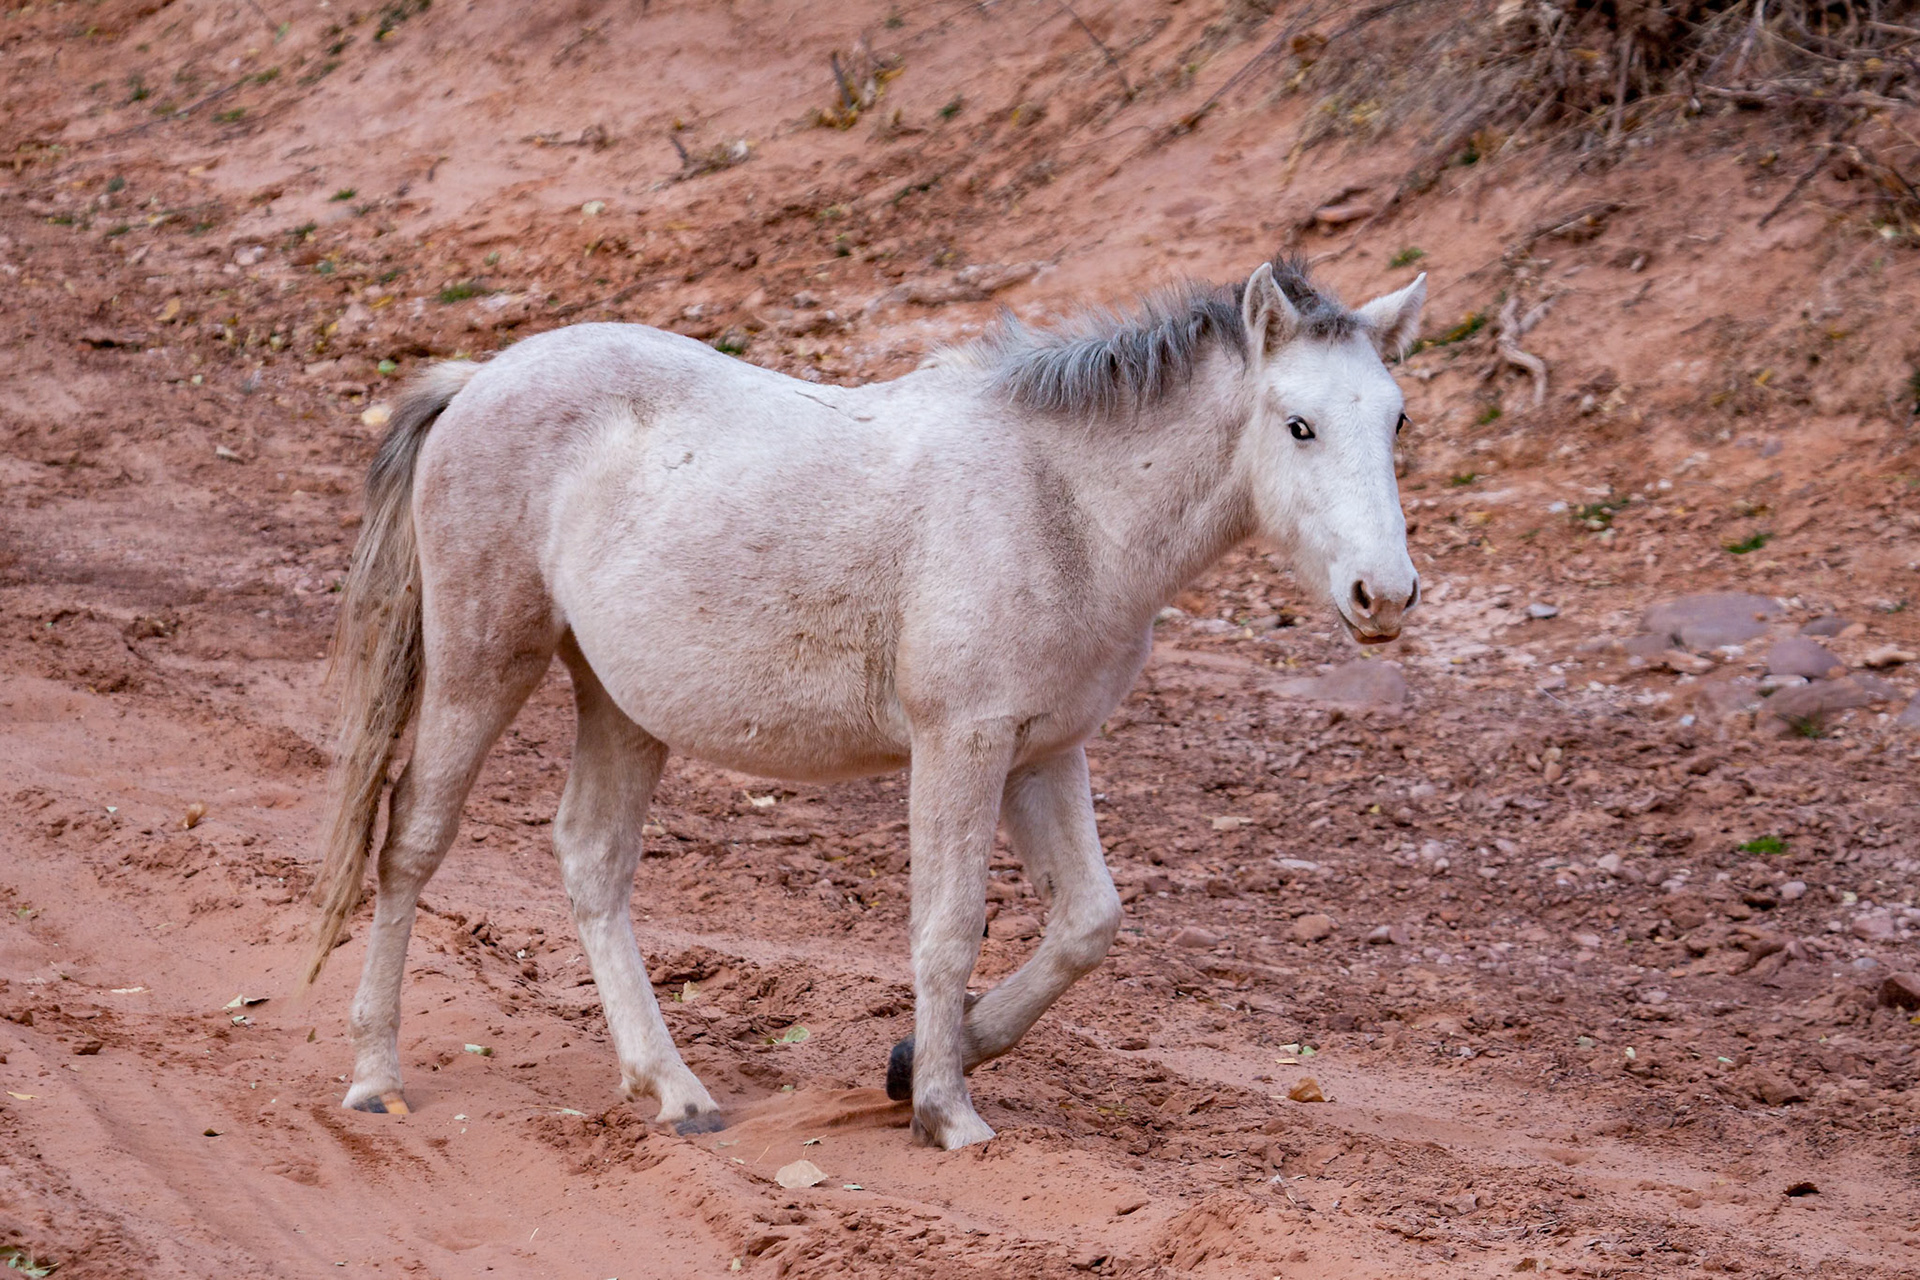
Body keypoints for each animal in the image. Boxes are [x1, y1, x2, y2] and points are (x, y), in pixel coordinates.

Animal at [304, 254, 1426, 1150]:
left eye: (1397, 419)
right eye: (1299, 424)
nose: (1387, 595)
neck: (1063, 502)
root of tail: (480, 379)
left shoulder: (1043, 752)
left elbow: (1087, 922)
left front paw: (915, 1061)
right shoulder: (962, 745)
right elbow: (948, 925)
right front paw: (945, 1110)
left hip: (621, 704)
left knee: (591, 859)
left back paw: (672, 1088)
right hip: (483, 666)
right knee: (413, 840)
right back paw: (375, 1075)